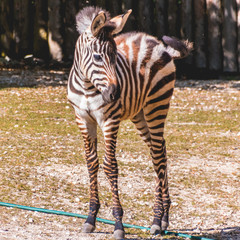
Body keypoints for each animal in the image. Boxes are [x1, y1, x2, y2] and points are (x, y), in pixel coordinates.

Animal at [67, 5, 193, 240]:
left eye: (115, 55)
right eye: (97, 57)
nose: (115, 94)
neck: (88, 86)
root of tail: (158, 44)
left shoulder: (110, 120)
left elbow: (110, 166)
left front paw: (118, 225)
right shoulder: (82, 119)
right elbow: (91, 163)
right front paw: (90, 219)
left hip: (156, 107)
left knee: (158, 156)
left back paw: (156, 221)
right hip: (140, 115)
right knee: (160, 150)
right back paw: (164, 218)